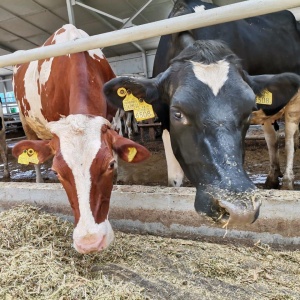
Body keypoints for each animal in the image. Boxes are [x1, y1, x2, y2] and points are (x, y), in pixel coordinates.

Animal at [152, 0, 300, 188]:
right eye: (178, 113)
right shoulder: (164, 118)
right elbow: (174, 180)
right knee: (271, 137)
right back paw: (273, 177)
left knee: (289, 136)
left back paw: (287, 180)